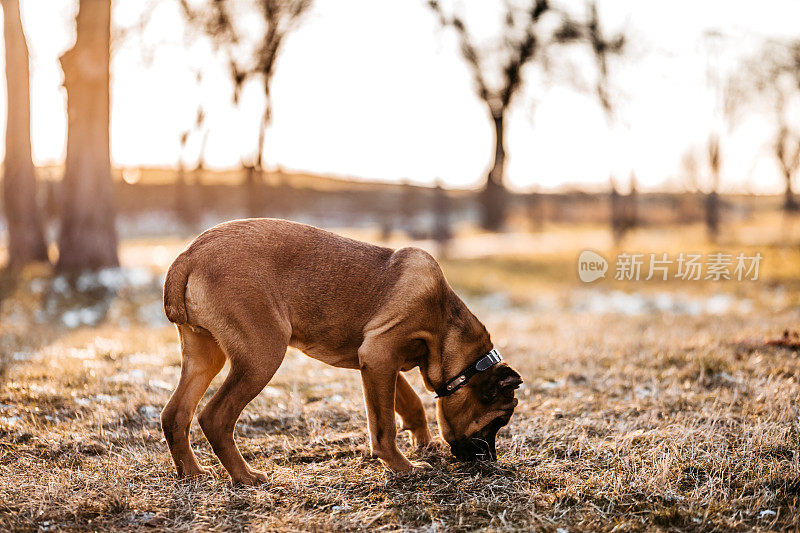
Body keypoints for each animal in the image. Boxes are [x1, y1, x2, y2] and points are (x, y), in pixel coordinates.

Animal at [162, 218, 524, 484]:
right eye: (500, 420)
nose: (490, 463)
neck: (444, 323)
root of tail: (188, 256)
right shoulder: (380, 357)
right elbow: (384, 427)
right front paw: (404, 468)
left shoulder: (379, 363)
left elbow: (409, 404)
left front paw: (422, 443)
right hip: (262, 355)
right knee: (215, 417)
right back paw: (245, 477)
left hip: (204, 356)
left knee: (175, 414)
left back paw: (192, 473)